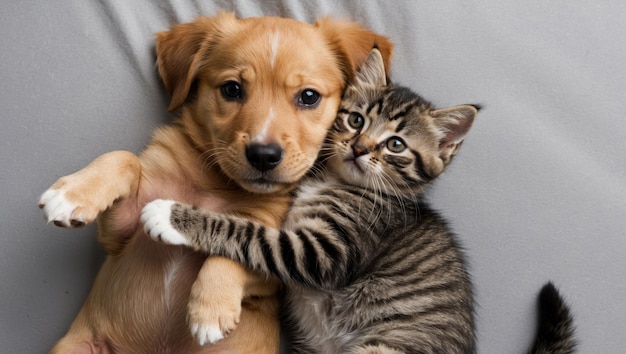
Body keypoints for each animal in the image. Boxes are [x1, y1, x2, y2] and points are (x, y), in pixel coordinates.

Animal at [37, 11, 390, 354]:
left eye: (309, 96)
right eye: (232, 89)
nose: (263, 155)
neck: (215, 183)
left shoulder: (281, 267)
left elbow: (239, 240)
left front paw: (210, 307)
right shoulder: (119, 237)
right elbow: (125, 159)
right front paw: (72, 194)